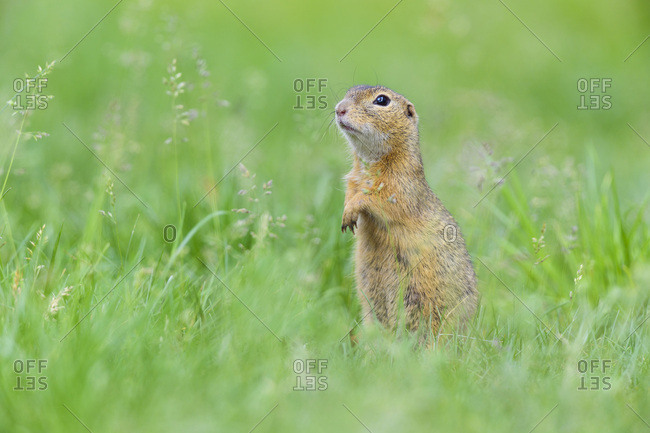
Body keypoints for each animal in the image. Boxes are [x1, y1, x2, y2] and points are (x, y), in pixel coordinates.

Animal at [336, 85, 478, 342]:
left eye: (382, 100)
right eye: (349, 91)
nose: (339, 109)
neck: (370, 162)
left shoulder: (401, 186)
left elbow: (377, 201)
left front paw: (352, 211)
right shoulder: (352, 181)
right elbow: (351, 193)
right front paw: (345, 214)